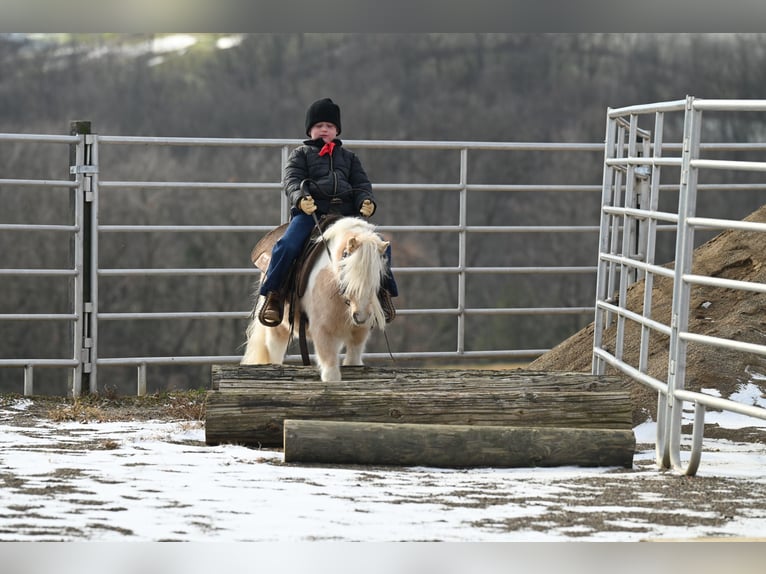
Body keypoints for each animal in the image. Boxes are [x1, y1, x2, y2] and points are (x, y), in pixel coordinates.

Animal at [243, 216, 390, 382]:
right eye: (347, 269)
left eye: (379, 274)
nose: (361, 316)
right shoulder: (323, 332)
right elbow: (331, 374)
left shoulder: (359, 334)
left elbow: (353, 361)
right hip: (277, 330)